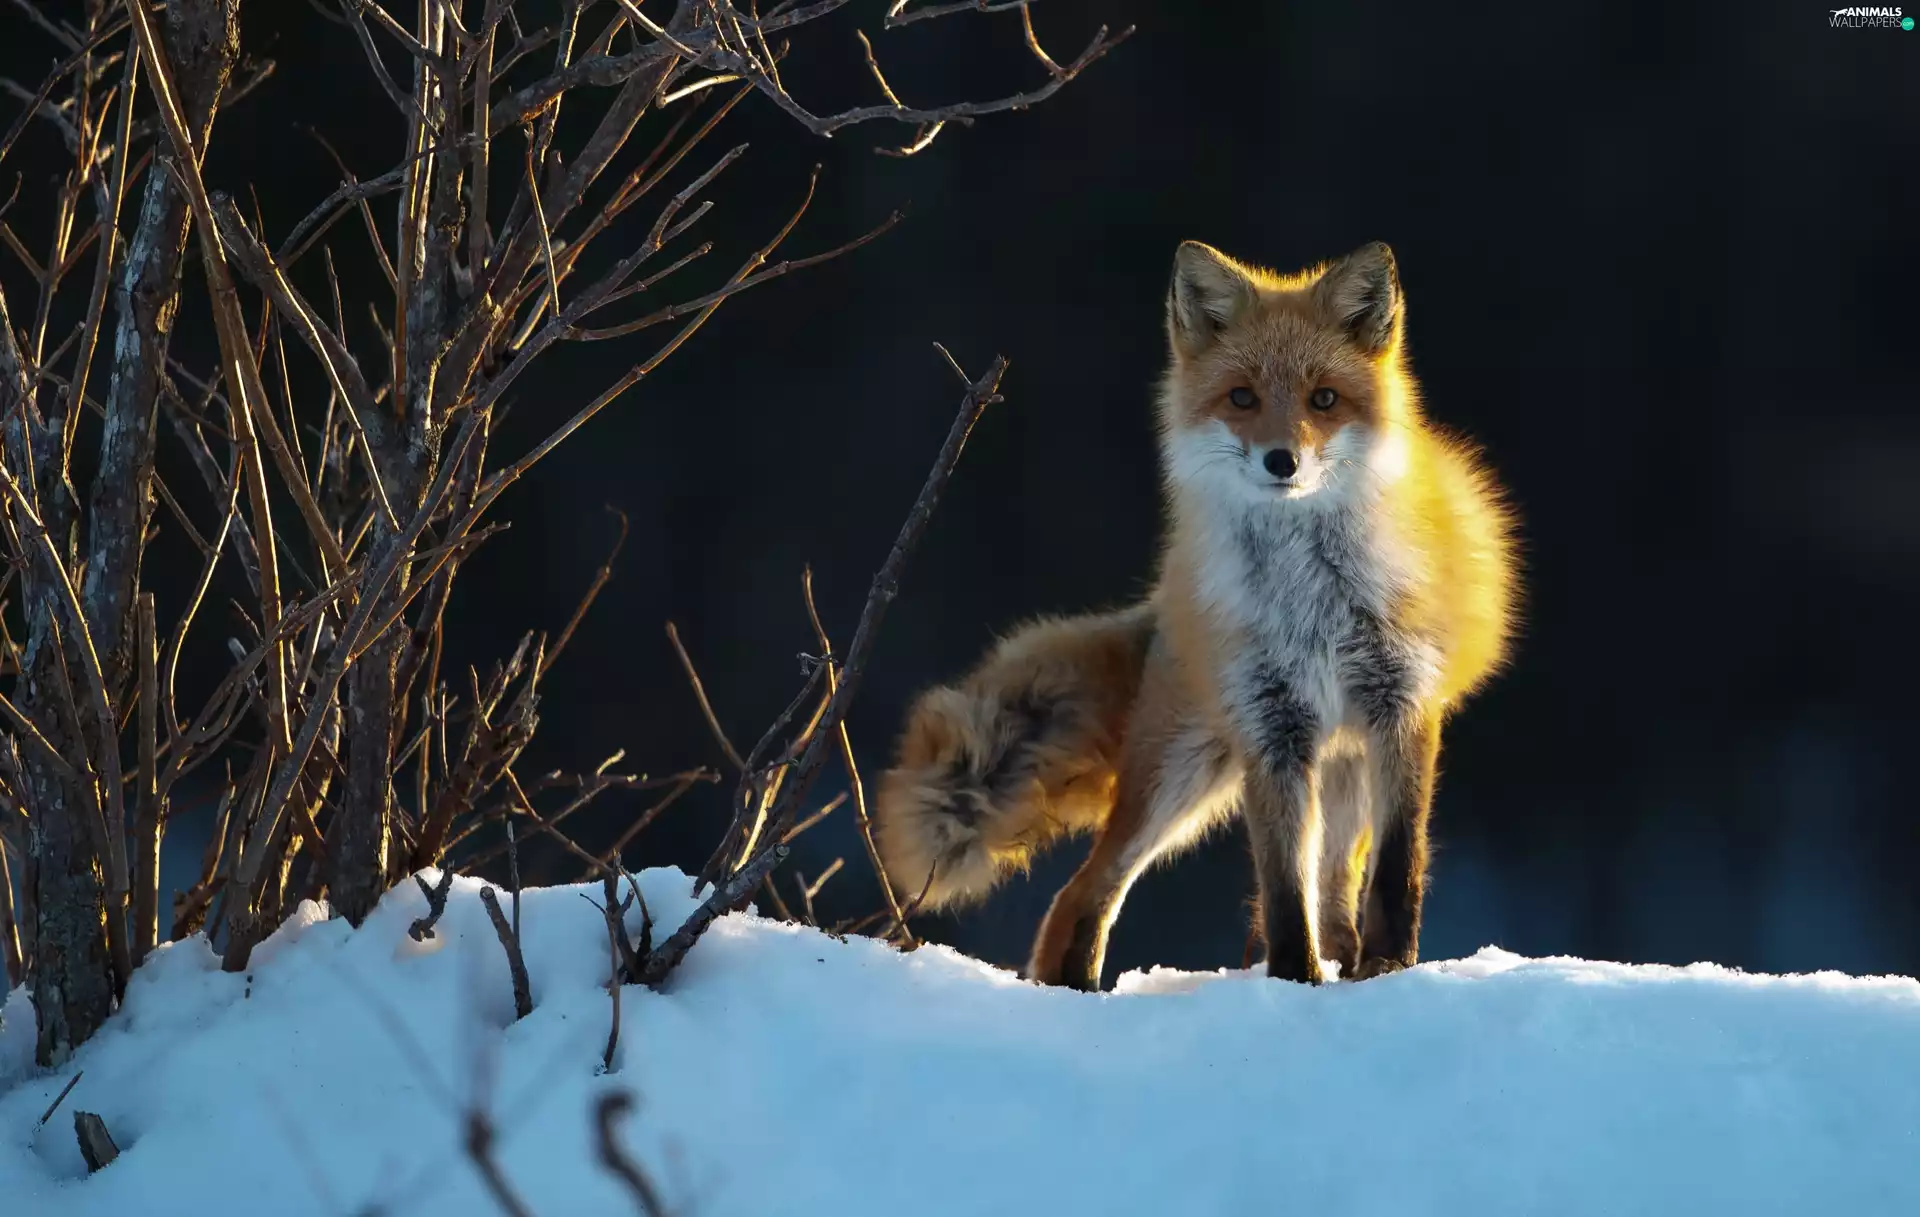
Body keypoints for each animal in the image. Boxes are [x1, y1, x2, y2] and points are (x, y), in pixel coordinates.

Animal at [874, 239, 1518, 991]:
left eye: (1324, 399)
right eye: (1242, 397)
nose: (1281, 460)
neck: (1310, 602)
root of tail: (1166, 597)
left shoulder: (1400, 709)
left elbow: (1394, 867)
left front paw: (1386, 967)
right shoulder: (1270, 727)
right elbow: (1282, 888)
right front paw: (1294, 980)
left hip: (1329, 762)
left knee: (1330, 884)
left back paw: (1343, 959)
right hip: (1185, 769)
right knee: (1084, 893)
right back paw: (1077, 986)